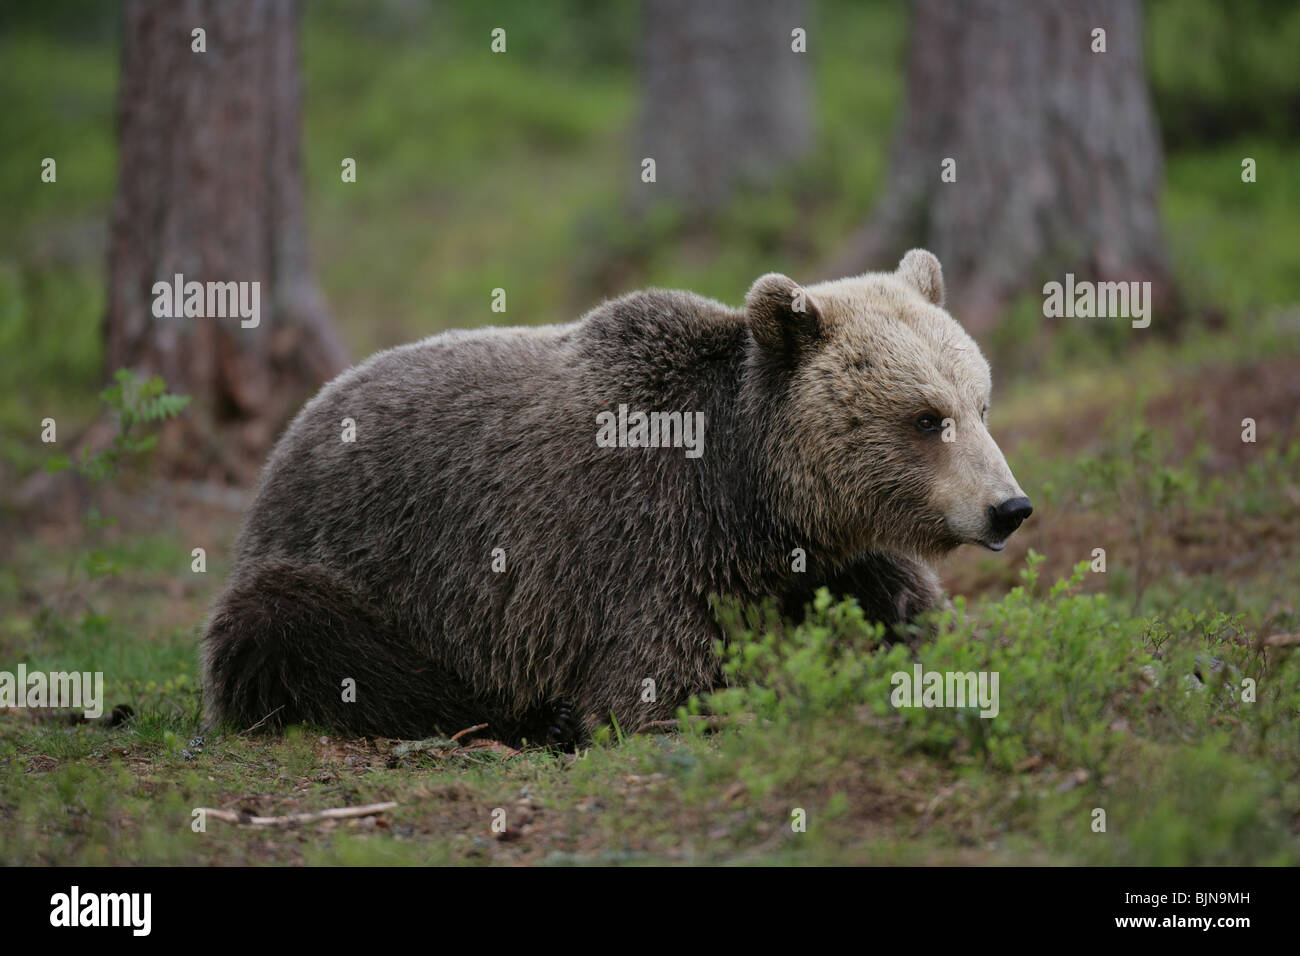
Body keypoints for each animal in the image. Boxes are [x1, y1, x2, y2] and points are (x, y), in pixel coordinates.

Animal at [201, 249, 1031, 746]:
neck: (755, 495)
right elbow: (656, 692)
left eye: (980, 404)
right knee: (315, 641)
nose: (1009, 508)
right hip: (345, 567)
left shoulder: (825, 560)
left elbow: (913, 613)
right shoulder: (652, 549)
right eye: (926, 418)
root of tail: (291, 434)